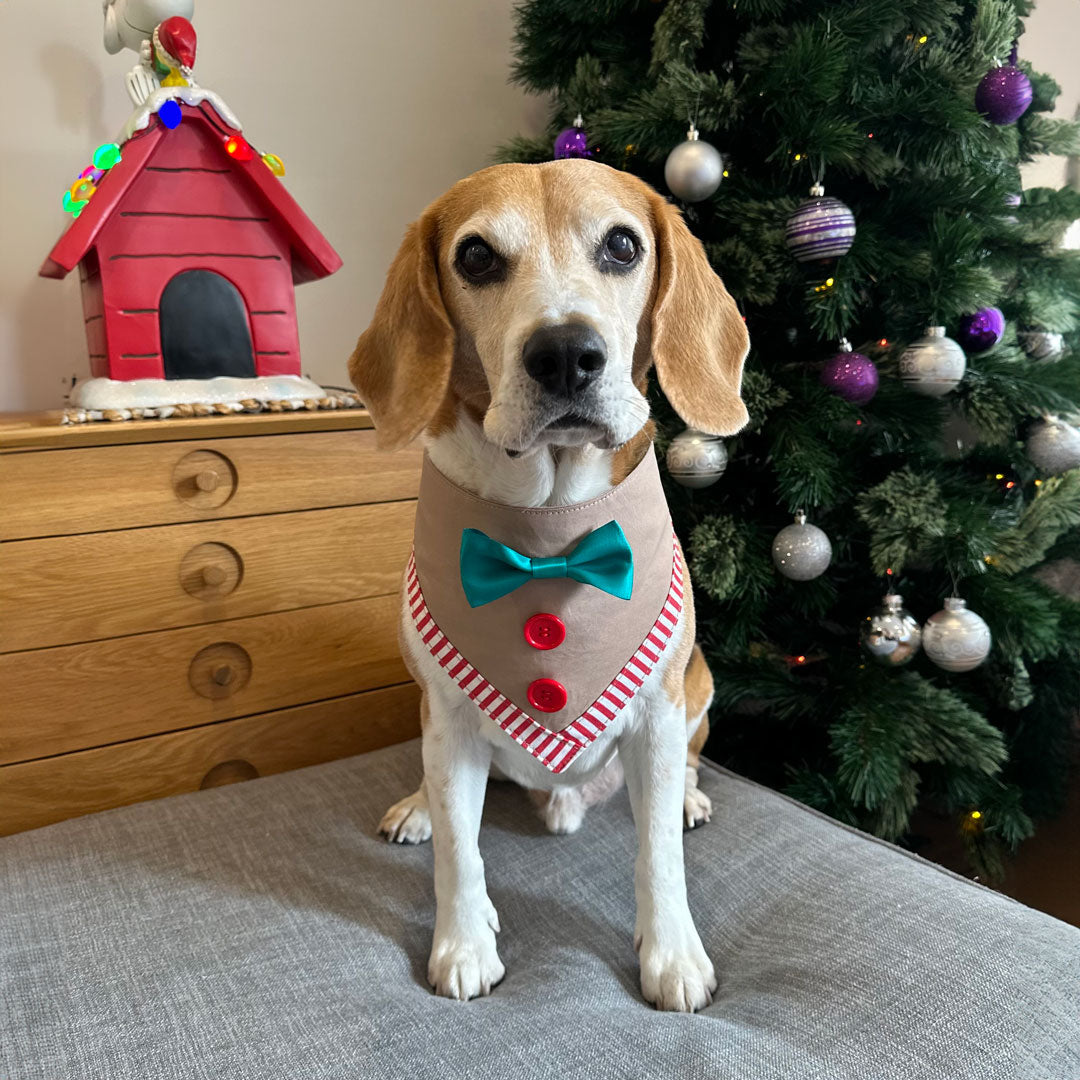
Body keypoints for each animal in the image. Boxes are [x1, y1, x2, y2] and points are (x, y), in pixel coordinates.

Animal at [349, 157, 747, 1010]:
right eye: (475, 257)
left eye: (623, 245)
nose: (566, 353)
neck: (551, 528)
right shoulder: (449, 720)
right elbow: (460, 852)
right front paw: (463, 943)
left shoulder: (660, 715)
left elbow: (658, 857)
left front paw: (673, 956)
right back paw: (418, 806)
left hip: (698, 688)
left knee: (687, 768)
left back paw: (690, 796)